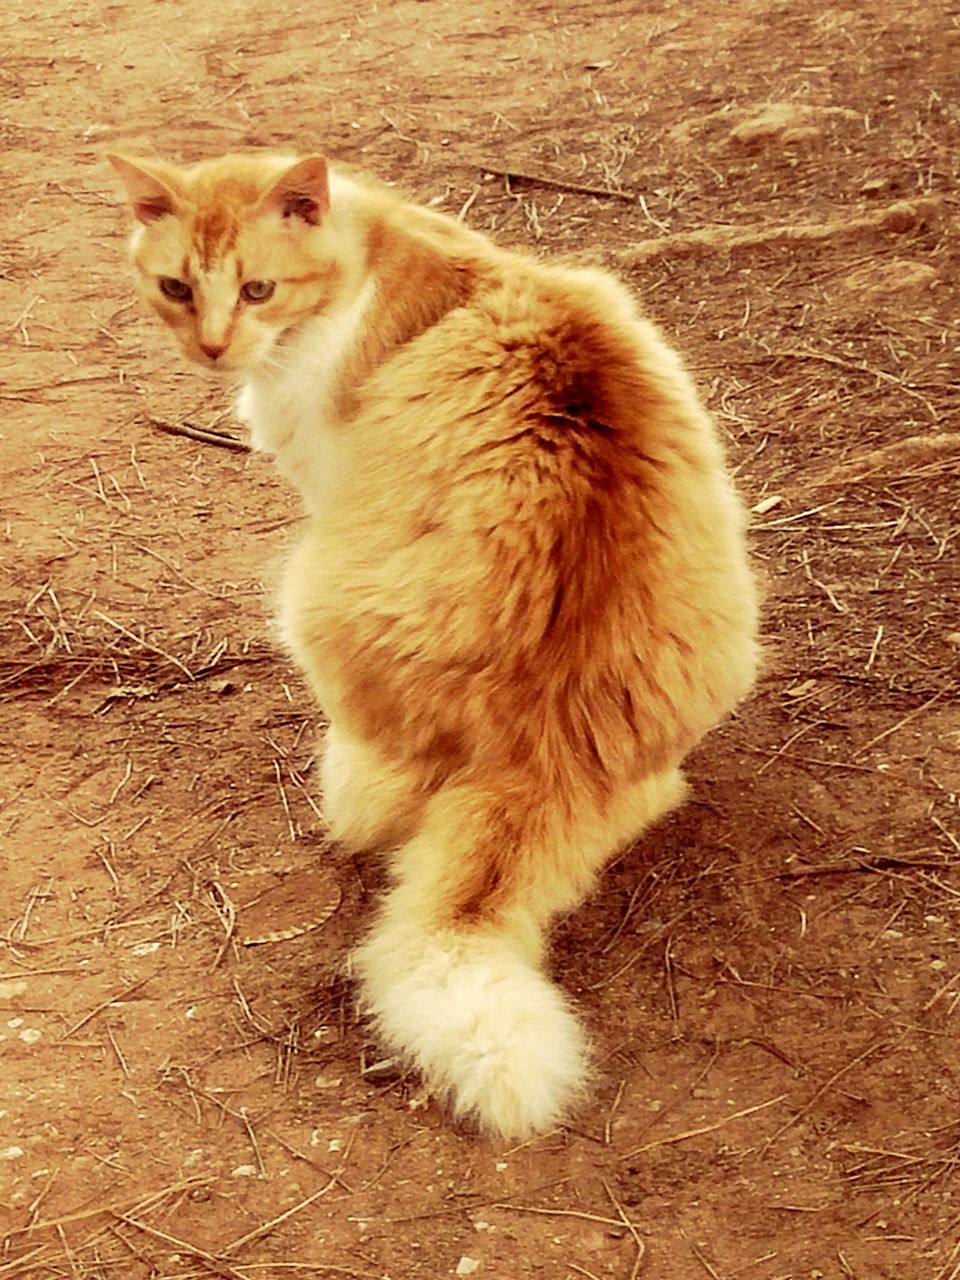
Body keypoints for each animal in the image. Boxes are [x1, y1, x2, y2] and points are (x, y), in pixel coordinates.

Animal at [110, 149, 757, 1141]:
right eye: (177, 288)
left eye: (258, 289)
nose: (212, 348)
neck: (373, 255)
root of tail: (543, 754)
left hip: (308, 593)